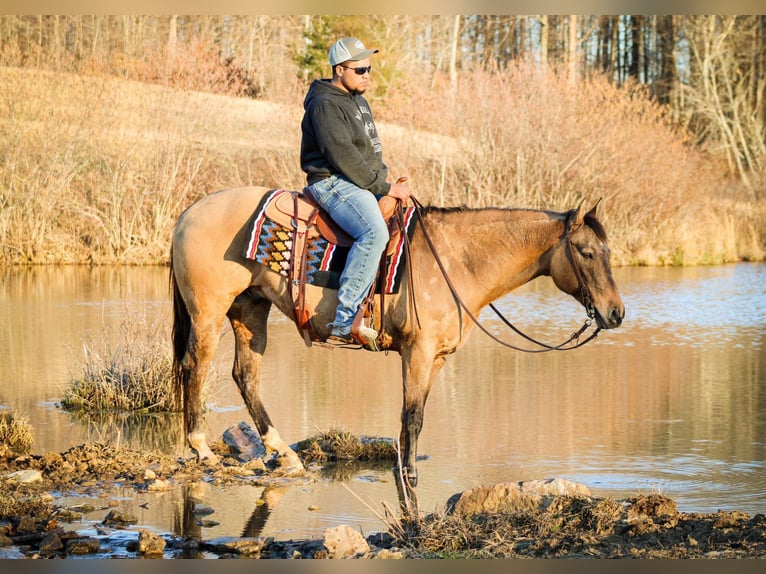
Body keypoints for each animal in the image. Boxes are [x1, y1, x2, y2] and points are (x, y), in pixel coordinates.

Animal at [171, 186, 628, 486]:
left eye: (608, 252)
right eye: (587, 253)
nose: (616, 313)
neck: (457, 260)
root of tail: (189, 212)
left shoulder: (436, 358)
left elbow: (413, 415)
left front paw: (403, 465)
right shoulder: (418, 351)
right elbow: (413, 415)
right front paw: (409, 473)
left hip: (250, 309)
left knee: (245, 376)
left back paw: (284, 454)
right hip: (209, 312)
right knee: (196, 367)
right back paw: (202, 449)